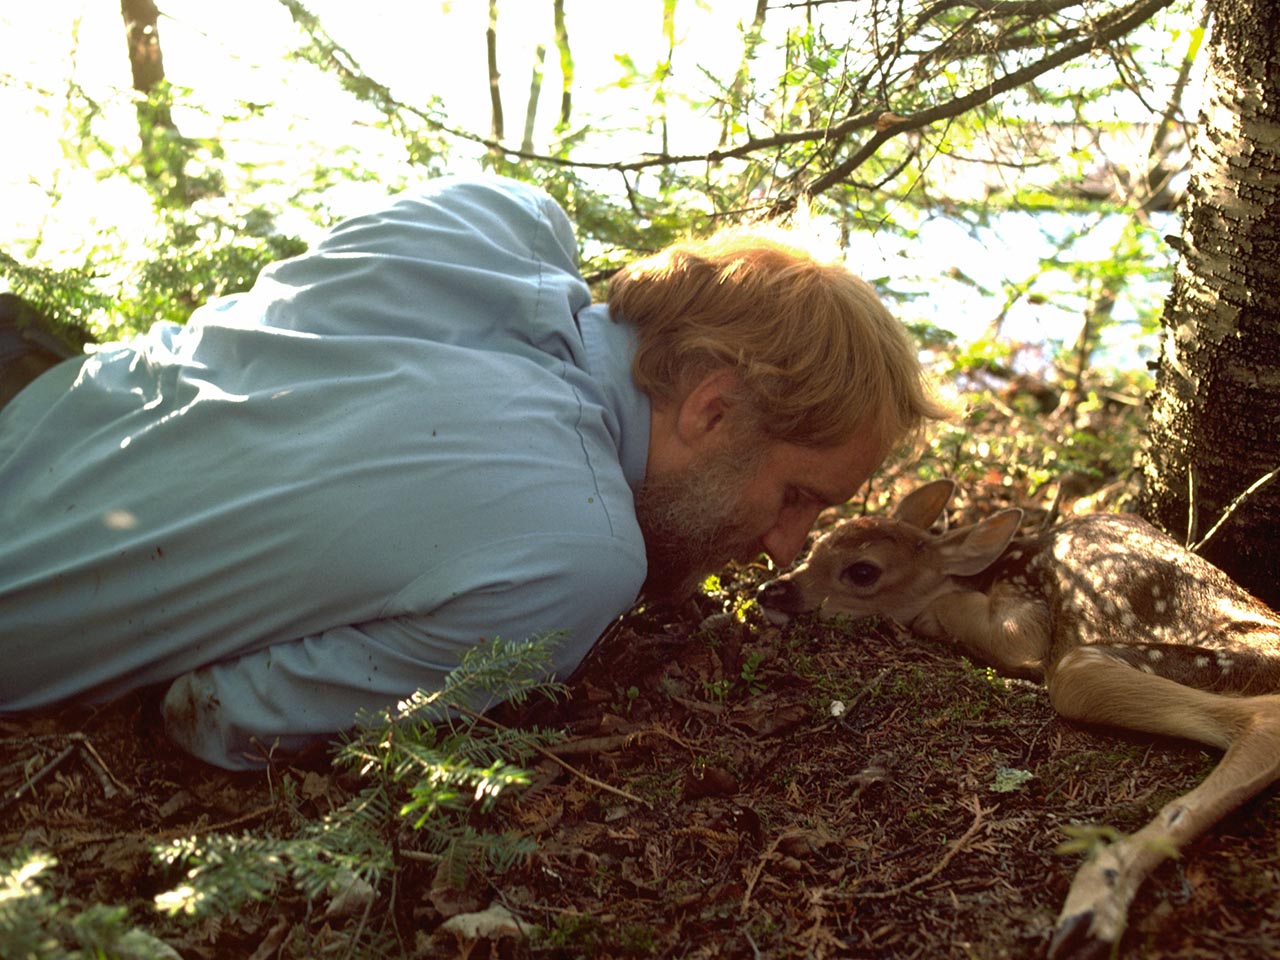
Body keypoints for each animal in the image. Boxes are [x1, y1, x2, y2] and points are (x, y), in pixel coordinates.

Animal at [756, 478, 1280, 960]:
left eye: (863, 571)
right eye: (817, 543)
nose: (769, 590)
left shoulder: (1024, 618)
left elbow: (986, 625)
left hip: (1125, 665)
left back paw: (1090, 910)